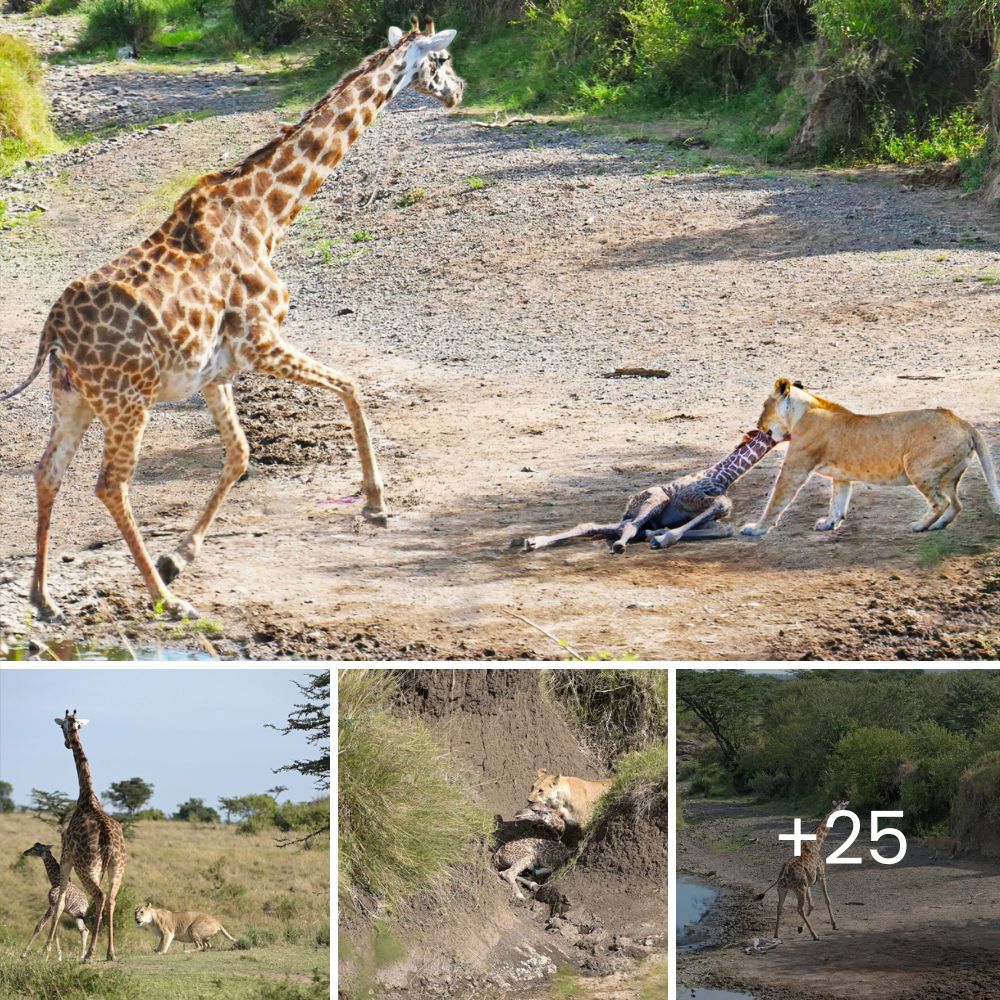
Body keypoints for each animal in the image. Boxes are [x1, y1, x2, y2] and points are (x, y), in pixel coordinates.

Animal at [0, 19, 464, 620]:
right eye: (444, 59)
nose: (458, 92)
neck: (267, 216)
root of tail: (52, 330)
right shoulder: (262, 342)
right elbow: (352, 387)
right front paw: (376, 505)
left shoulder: (216, 371)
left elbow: (241, 454)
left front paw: (181, 554)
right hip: (127, 401)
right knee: (109, 484)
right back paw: (166, 600)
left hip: (73, 398)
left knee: (47, 471)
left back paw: (44, 597)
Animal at [45, 712, 128, 960]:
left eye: (62, 727)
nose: (66, 743)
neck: (87, 797)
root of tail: (108, 840)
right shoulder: (98, 870)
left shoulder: (66, 857)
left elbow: (60, 900)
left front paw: (46, 950)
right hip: (116, 868)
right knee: (110, 898)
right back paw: (110, 952)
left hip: (85, 867)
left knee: (100, 897)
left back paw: (90, 953)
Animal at [520, 430, 776, 556]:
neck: (725, 475)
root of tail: (630, 504)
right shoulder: (692, 498)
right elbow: (722, 503)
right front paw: (663, 538)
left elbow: (725, 527)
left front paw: (660, 535)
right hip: (654, 500)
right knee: (628, 527)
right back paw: (621, 544)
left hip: (640, 513)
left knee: (604, 526)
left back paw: (533, 542)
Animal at [752, 800, 848, 940]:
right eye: (843, 806)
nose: (847, 811)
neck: (817, 843)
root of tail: (783, 874)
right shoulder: (821, 876)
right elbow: (827, 900)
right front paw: (834, 925)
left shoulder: (809, 883)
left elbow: (812, 904)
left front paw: (800, 928)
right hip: (799, 888)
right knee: (799, 908)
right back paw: (814, 935)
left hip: (783, 889)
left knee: (779, 907)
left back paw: (776, 934)